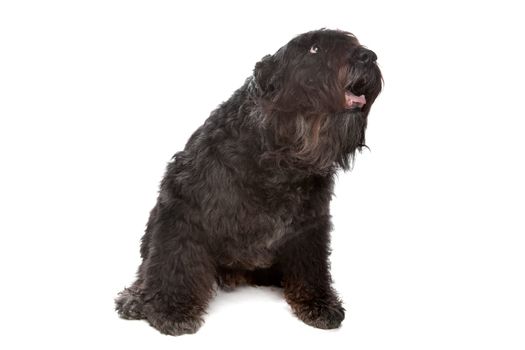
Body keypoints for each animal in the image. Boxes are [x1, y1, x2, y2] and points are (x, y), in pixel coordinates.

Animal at [116, 29, 382, 336]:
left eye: (356, 45)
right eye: (314, 49)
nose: (368, 56)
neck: (283, 150)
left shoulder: (310, 224)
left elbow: (311, 266)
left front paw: (318, 303)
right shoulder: (184, 205)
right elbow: (173, 258)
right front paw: (170, 309)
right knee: (148, 265)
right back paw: (135, 299)